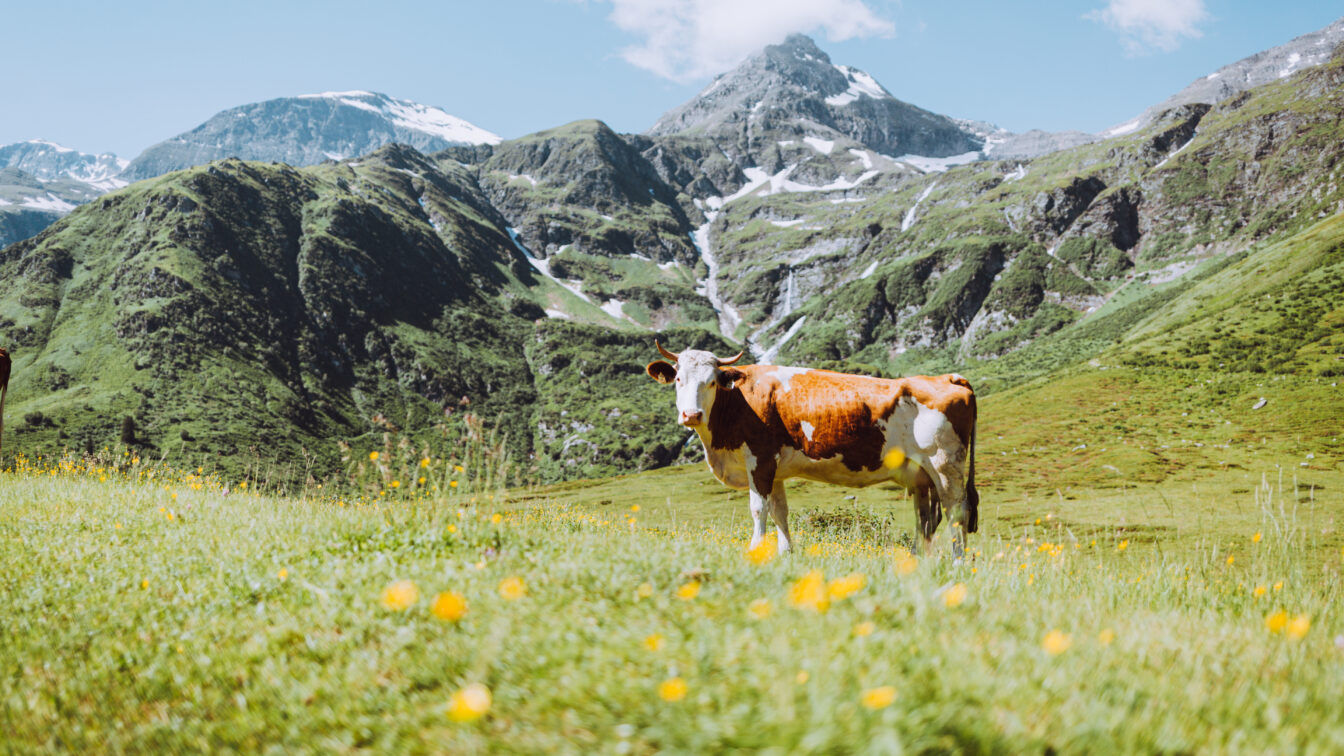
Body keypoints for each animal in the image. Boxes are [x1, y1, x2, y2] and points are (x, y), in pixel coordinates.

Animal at [646, 342, 979, 557]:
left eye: (712, 382)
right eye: (678, 379)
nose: (691, 415)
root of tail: (949, 377)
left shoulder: (760, 459)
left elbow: (758, 508)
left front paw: (754, 550)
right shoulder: (776, 469)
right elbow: (780, 511)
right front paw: (786, 553)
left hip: (945, 463)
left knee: (956, 510)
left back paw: (957, 562)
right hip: (922, 474)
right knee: (928, 517)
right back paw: (917, 558)